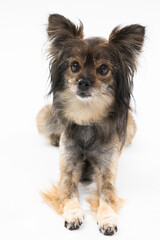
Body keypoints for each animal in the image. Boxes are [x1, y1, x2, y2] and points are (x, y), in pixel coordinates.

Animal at [37, 14, 145, 236]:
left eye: (103, 69)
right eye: (74, 66)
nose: (83, 82)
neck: (87, 115)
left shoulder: (107, 171)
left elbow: (108, 195)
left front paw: (107, 219)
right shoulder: (68, 169)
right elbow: (69, 192)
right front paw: (73, 215)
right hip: (44, 118)